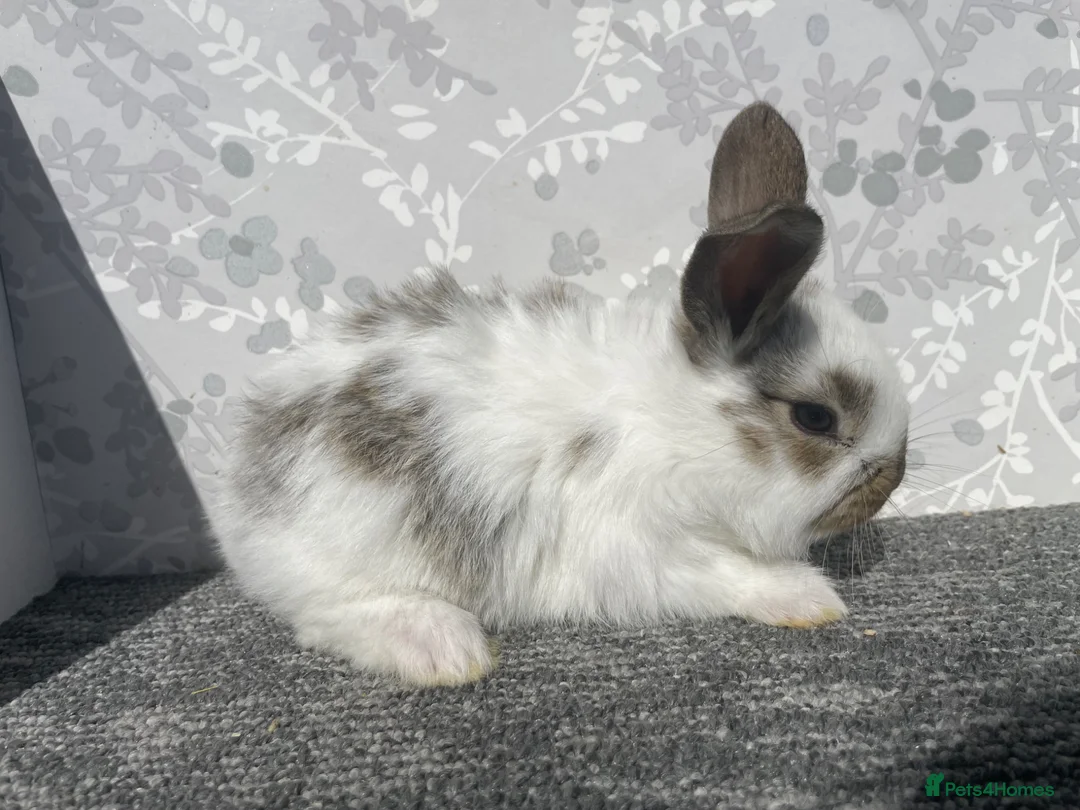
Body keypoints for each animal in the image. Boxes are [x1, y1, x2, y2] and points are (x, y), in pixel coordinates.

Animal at [209, 102, 910, 687]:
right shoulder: (638, 544)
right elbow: (726, 573)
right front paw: (810, 598)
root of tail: (239, 495)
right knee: (323, 615)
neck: (673, 422)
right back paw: (443, 648)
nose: (893, 477)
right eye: (815, 418)